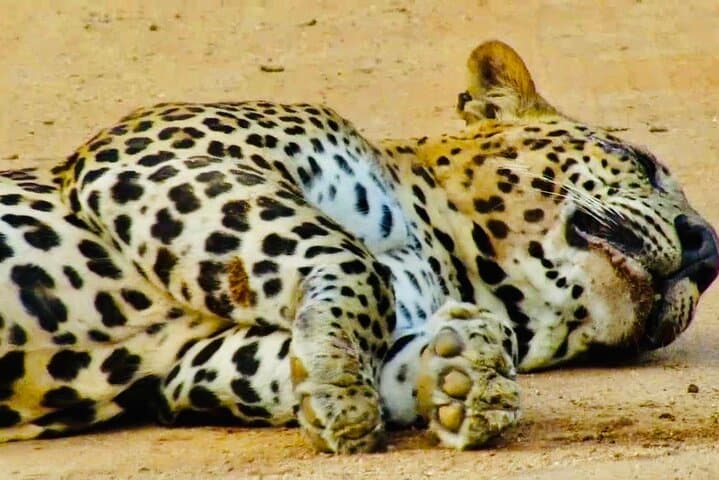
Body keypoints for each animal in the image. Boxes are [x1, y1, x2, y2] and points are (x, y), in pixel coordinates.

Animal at [0, 40, 717, 453]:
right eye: (642, 161)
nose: (708, 251)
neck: (452, 262)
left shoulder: (184, 366)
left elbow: (284, 355)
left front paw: (461, 374)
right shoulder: (154, 154)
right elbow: (352, 260)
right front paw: (344, 390)